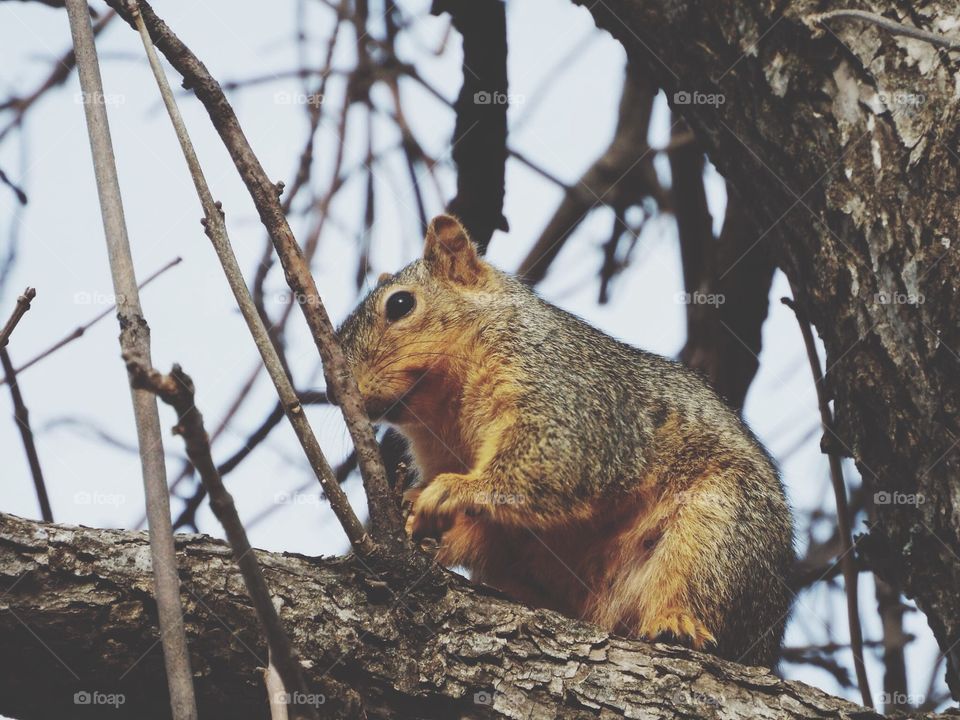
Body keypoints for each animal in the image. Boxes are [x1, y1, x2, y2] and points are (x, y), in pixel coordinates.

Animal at [337, 214, 795, 667]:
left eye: (400, 304)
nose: (342, 388)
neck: (446, 412)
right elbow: (486, 526)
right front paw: (415, 516)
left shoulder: (565, 390)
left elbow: (553, 460)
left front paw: (452, 489)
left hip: (721, 526)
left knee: (697, 582)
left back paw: (677, 623)